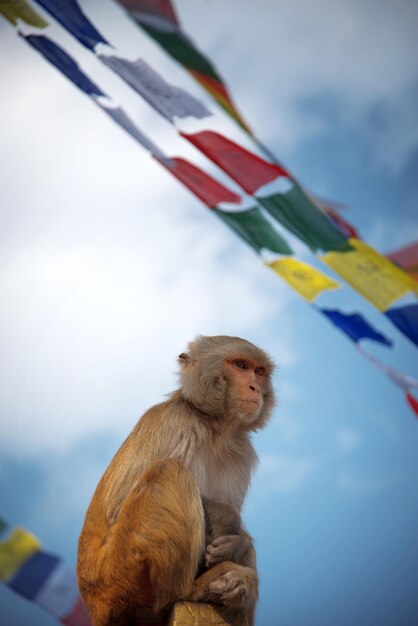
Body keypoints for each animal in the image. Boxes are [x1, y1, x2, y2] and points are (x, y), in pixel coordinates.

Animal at [76, 336, 276, 624]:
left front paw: (238, 545)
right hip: (120, 573)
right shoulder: (177, 422)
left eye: (259, 371)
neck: (215, 429)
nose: (254, 387)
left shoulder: (241, 453)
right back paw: (189, 590)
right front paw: (231, 525)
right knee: (169, 471)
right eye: (240, 365)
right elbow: (118, 507)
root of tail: (95, 605)